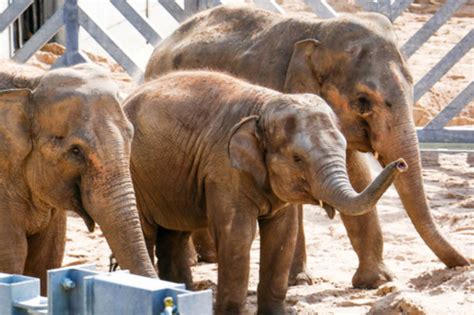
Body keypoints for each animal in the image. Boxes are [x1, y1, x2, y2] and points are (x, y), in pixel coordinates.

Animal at [123, 70, 408, 314]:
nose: (401, 163)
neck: (264, 107)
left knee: (175, 234)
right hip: (136, 175)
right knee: (148, 230)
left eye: (342, 145)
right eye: (297, 158)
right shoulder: (224, 170)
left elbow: (283, 235)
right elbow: (237, 235)